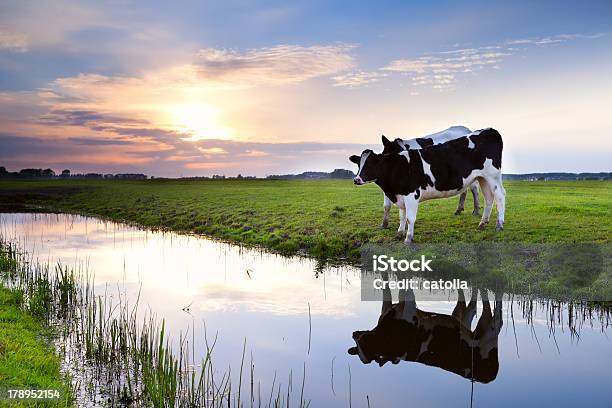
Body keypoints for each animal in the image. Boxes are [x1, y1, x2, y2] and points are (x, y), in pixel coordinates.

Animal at [350, 127, 506, 244]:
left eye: (370, 164)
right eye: (359, 164)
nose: (356, 179)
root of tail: (489, 130)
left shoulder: (412, 194)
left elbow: (409, 218)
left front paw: (408, 239)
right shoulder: (400, 194)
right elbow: (401, 215)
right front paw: (399, 233)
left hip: (492, 176)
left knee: (499, 195)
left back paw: (498, 224)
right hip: (482, 177)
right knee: (488, 197)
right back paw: (482, 223)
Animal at [350, 286, 502, 384]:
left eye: (364, 342)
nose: (354, 333)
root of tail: (489, 377)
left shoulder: (409, 308)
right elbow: (389, 291)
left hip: (487, 336)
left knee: (496, 317)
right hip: (468, 325)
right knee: (473, 307)